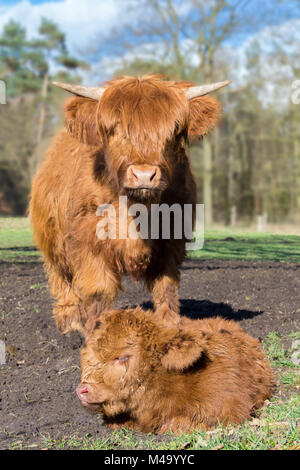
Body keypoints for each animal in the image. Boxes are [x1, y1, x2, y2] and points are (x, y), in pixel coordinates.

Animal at [29, 74, 230, 334]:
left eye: (174, 130)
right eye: (115, 129)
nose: (144, 175)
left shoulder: (171, 240)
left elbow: (166, 287)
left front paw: (169, 327)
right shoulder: (89, 241)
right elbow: (99, 290)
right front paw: (96, 332)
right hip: (51, 241)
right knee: (61, 279)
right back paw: (70, 323)